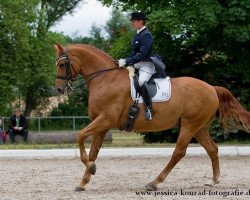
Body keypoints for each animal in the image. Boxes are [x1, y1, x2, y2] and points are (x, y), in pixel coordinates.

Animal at [53, 42, 250, 192]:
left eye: (62, 65)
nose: (58, 90)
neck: (104, 79)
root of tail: (212, 88)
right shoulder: (102, 125)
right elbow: (93, 152)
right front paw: (84, 181)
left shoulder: (105, 119)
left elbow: (80, 136)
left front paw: (90, 168)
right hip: (200, 128)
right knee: (212, 150)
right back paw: (214, 180)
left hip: (189, 125)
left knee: (179, 152)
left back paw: (154, 183)